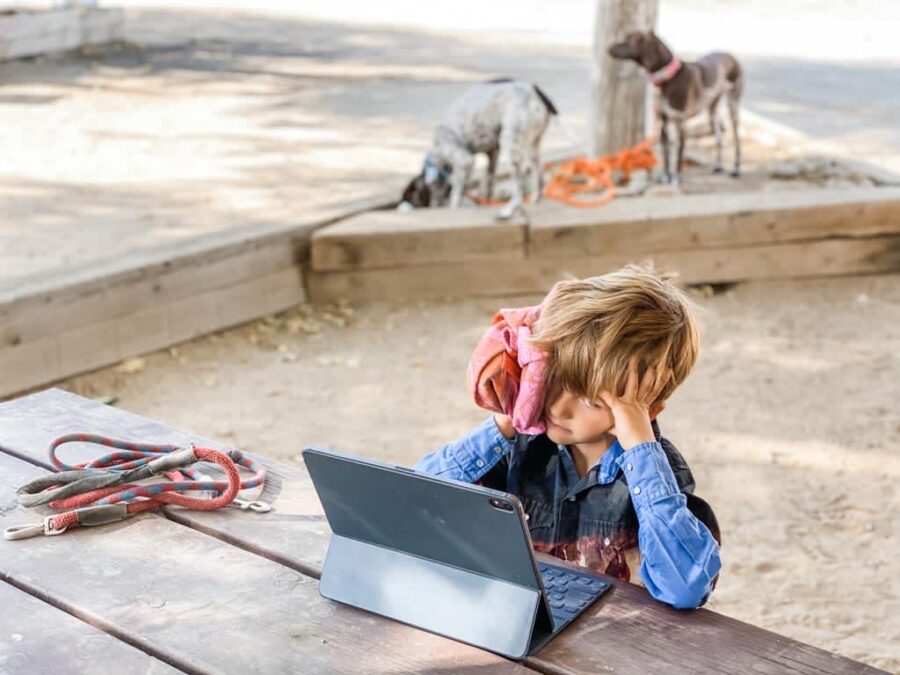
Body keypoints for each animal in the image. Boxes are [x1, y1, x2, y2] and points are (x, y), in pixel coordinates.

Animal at [422, 78, 556, 219]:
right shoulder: (493, 153)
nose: (434, 207)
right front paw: (485, 199)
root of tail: (536, 93)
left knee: (519, 187)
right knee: (536, 175)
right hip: (532, 145)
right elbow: (488, 179)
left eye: (430, 187)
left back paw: (509, 209)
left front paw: (455, 209)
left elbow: (456, 194)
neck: (437, 148)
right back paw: (533, 200)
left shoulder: (464, 159)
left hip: (510, 145)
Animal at [608, 31, 740, 185]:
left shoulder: (680, 123)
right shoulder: (663, 123)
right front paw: (666, 176)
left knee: (736, 138)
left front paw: (676, 178)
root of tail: (729, 55)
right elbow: (666, 154)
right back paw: (718, 166)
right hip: (712, 112)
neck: (667, 77)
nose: (608, 48)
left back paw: (736, 169)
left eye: (628, 40)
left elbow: (678, 153)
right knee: (719, 138)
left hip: (733, 105)